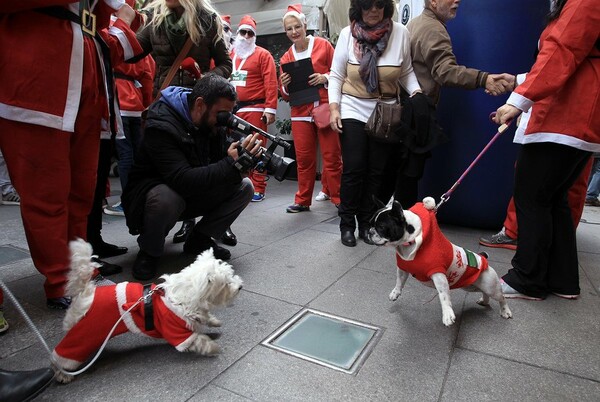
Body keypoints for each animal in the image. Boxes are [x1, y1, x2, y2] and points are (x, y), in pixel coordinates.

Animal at [51, 239, 243, 384]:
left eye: (231, 275)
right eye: (226, 283)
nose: (240, 286)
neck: (185, 296)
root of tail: (86, 293)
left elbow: (205, 317)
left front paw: (214, 321)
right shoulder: (177, 332)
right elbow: (199, 341)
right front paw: (213, 348)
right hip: (85, 333)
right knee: (64, 355)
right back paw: (63, 374)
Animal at [366, 197, 510, 326]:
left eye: (381, 227)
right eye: (370, 223)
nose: (369, 231)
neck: (410, 242)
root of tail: (483, 258)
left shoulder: (438, 275)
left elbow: (443, 295)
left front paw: (447, 314)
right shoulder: (403, 267)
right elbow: (399, 281)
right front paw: (395, 293)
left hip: (491, 286)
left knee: (501, 297)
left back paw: (505, 311)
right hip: (470, 285)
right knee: (484, 292)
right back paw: (484, 301)